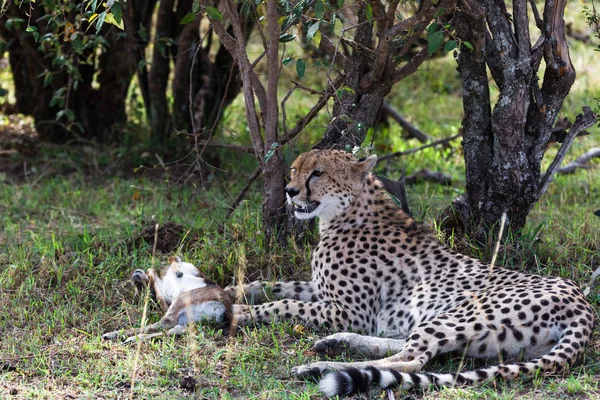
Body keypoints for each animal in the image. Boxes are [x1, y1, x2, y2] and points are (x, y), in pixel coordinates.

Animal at [232, 150, 592, 396]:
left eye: (317, 173)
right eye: (294, 169)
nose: (290, 191)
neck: (346, 213)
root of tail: (583, 304)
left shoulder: (349, 312)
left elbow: (284, 304)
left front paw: (238, 312)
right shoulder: (323, 293)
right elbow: (278, 286)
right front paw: (233, 294)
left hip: (455, 311)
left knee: (412, 360)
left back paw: (320, 367)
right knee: (405, 346)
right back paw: (336, 343)